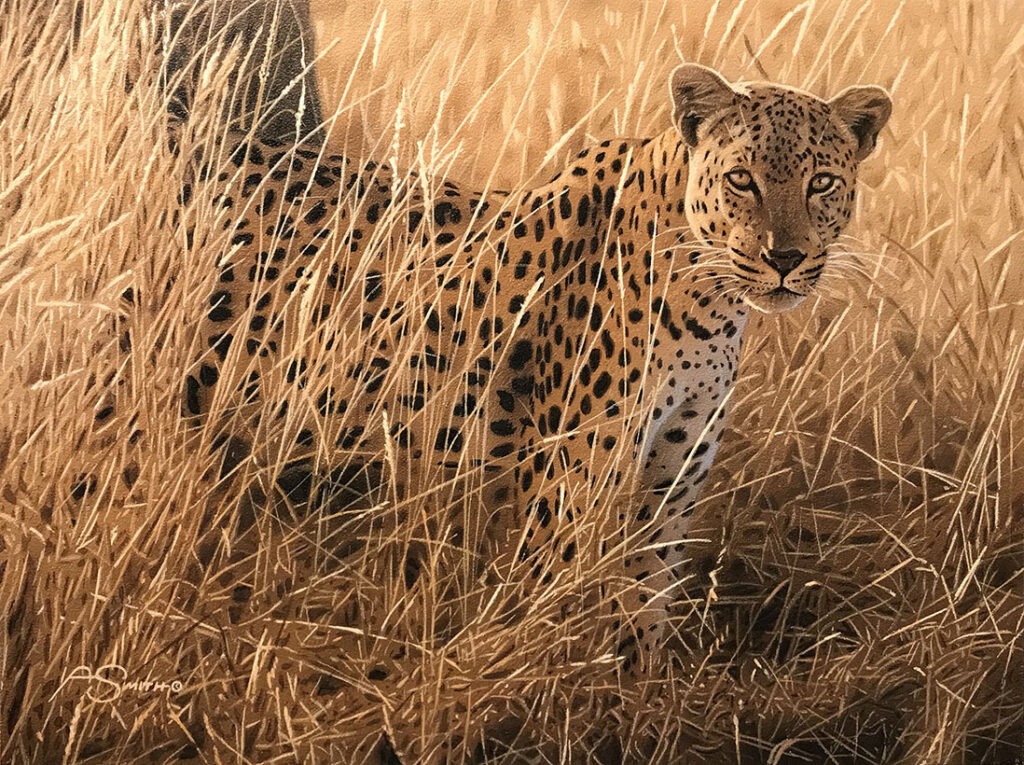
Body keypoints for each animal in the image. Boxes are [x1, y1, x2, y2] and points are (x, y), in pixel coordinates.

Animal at [102, 64, 893, 674]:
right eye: (742, 180)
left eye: (822, 183)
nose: (785, 257)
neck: (712, 305)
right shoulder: (569, 478)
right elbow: (559, 597)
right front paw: (551, 695)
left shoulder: (669, 477)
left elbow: (647, 596)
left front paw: (641, 699)